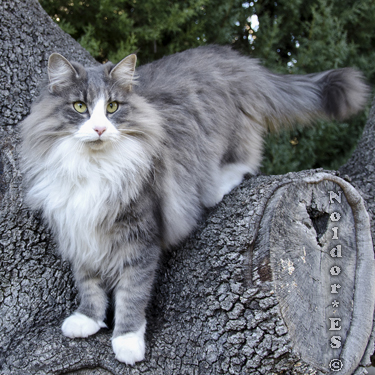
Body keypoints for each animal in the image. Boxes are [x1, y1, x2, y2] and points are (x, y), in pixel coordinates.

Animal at [19, 45, 368, 366]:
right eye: (80, 107)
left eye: (113, 107)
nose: (100, 129)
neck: (94, 167)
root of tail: (232, 57)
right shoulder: (78, 230)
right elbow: (89, 283)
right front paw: (88, 320)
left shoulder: (141, 236)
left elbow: (132, 292)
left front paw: (127, 341)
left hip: (228, 135)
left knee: (246, 160)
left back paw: (218, 186)